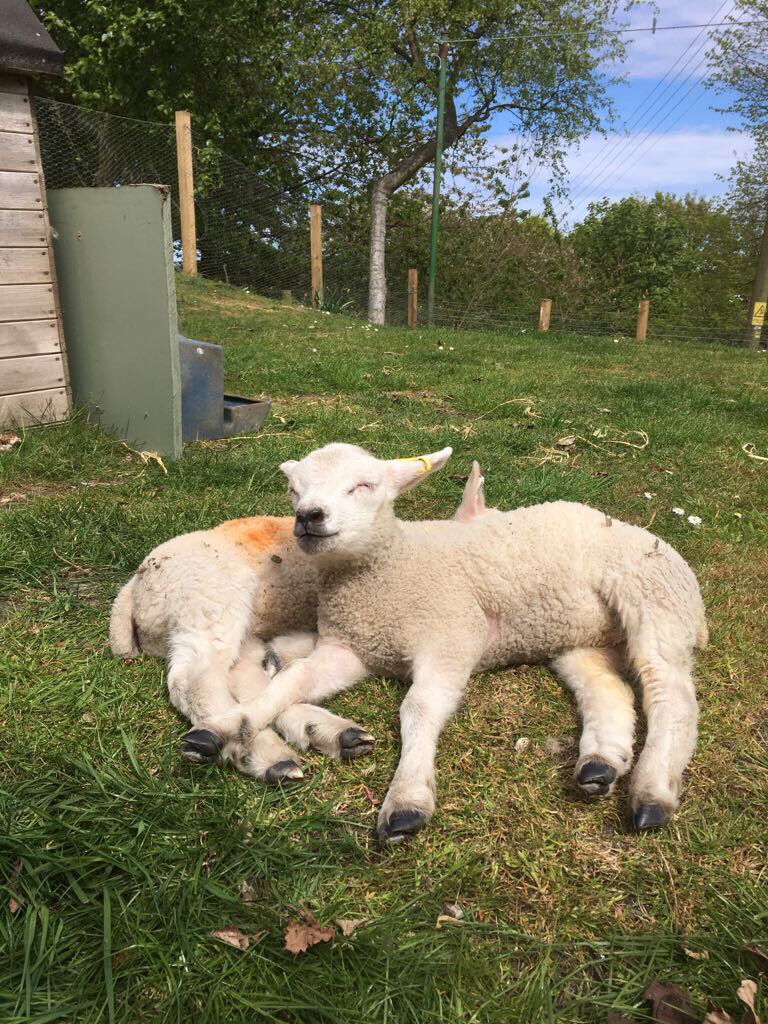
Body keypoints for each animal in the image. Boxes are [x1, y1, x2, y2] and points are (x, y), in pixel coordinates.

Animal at [109, 462, 491, 782]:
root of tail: (134, 586)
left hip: (235, 623)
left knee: (244, 675)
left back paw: (325, 732)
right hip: (211, 600)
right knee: (197, 682)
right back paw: (265, 753)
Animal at [191, 443, 708, 844]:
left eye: (364, 486)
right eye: (294, 492)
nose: (307, 517)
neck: (386, 574)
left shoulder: (453, 636)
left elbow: (418, 708)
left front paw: (406, 799)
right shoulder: (350, 649)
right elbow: (291, 681)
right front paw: (224, 728)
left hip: (652, 596)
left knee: (670, 692)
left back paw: (653, 792)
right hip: (581, 639)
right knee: (608, 689)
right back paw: (599, 765)